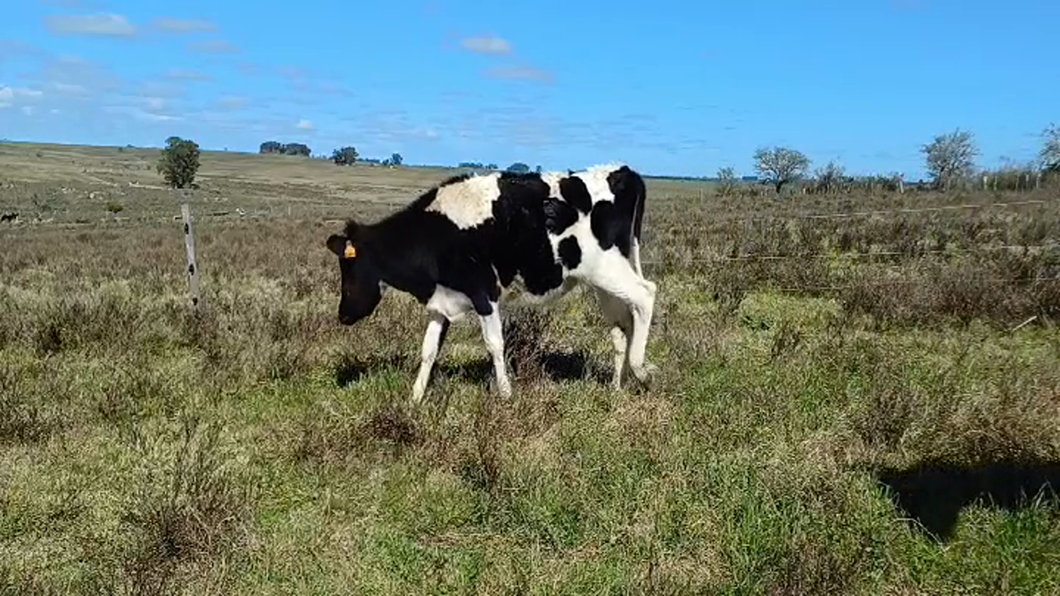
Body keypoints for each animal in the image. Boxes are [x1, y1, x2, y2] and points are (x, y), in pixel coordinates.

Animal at [324, 162, 652, 400]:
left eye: (350, 266)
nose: (343, 315)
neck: (436, 234)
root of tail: (622, 171)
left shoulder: (484, 293)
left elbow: (494, 344)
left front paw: (505, 394)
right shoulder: (441, 301)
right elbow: (428, 350)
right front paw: (414, 399)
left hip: (607, 268)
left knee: (646, 295)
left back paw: (641, 371)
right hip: (603, 281)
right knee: (621, 325)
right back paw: (616, 386)